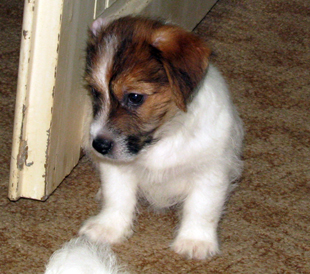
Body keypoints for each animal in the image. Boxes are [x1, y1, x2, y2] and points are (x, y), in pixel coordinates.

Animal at [78, 16, 243, 260]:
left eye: (135, 97)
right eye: (95, 92)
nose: (98, 145)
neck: (163, 138)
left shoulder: (210, 171)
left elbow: (202, 207)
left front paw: (195, 241)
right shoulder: (117, 168)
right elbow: (117, 197)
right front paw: (109, 228)